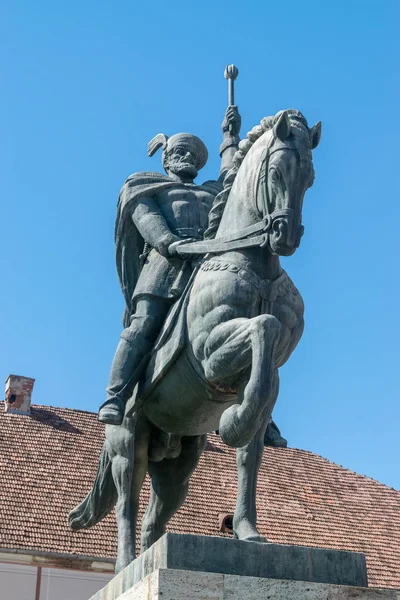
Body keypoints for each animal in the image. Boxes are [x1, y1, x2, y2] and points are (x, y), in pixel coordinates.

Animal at [69, 108, 322, 572]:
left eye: (310, 177)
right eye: (276, 170)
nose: (286, 235)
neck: (255, 265)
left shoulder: (272, 373)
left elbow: (249, 454)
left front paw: (247, 531)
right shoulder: (210, 356)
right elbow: (264, 326)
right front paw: (235, 421)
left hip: (179, 464)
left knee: (154, 519)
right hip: (127, 446)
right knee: (127, 506)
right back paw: (127, 563)